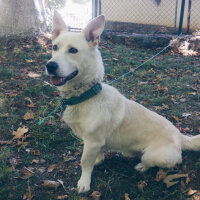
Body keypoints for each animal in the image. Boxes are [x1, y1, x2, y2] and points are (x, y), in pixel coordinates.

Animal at [46, 11, 200, 194]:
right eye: (55, 47)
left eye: (73, 50)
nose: (50, 65)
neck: (87, 95)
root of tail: (180, 136)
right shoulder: (94, 142)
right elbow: (96, 155)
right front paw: (98, 160)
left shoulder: (92, 141)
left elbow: (84, 162)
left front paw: (84, 181)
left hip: (153, 155)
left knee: (149, 162)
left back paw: (141, 166)